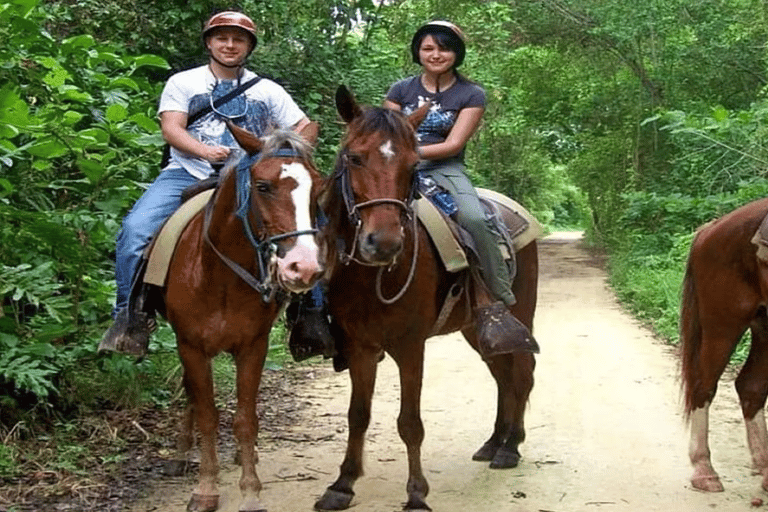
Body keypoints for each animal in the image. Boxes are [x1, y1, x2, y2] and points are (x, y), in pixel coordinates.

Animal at [162, 124, 324, 512]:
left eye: (318, 187)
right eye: (262, 186)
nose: (303, 267)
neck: (219, 276)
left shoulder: (253, 346)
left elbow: (245, 419)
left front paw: (250, 491)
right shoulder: (190, 346)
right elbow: (207, 414)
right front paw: (205, 489)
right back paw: (181, 453)